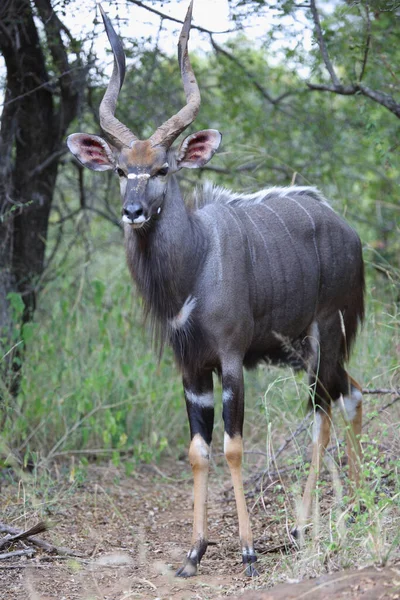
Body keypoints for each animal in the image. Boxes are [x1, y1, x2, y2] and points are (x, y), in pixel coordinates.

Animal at [66, 2, 366, 580]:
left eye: (163, 167)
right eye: (121, 169)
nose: (133, 211)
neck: (194, 267)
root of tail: (350, 233)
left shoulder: (229, 359)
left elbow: (232, 447)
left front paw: (248, 553)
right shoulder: (189, 367)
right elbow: (197, 450)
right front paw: (193, 553)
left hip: (327, 335)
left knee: (323, 415)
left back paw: (306, 526)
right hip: (306, 351)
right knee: (352, 395)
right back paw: (356, 506)